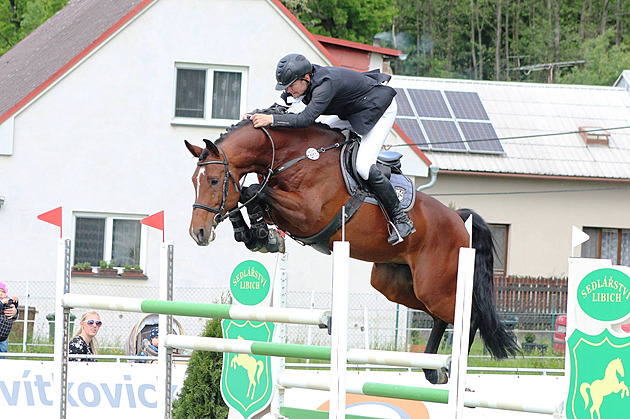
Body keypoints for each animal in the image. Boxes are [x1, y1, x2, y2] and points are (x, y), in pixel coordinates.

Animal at [185, 118, 520, 384]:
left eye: (213, 180)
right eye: (193, 182)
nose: (197, 233)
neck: (294, 156)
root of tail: (460, 220)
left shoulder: (307, 214)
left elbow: (253, 191)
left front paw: (259, 234)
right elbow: (249, 195)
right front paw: (254, 234)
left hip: (434, 285)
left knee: (468, 316)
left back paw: (452, 367)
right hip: (396, 284)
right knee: (439, 317)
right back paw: (432, 369)